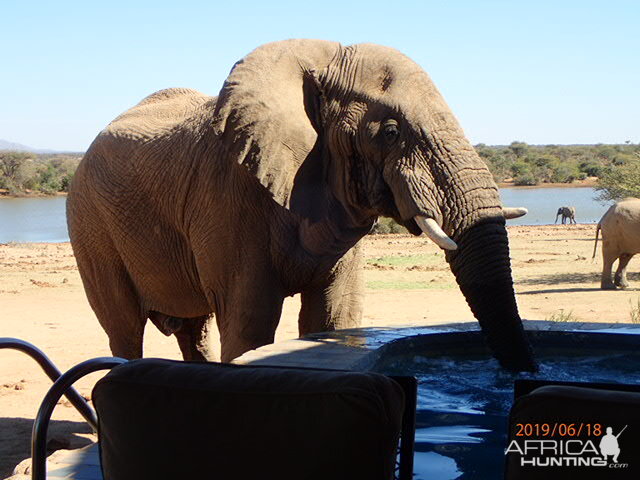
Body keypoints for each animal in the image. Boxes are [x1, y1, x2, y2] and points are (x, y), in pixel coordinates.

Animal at [66, 40, 536, 372]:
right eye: (389, 132)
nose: (521, 375)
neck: (320, 60)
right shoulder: (227, 198)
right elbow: (250, 324)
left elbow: (333, 317)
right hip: (89, 224)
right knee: (125, 328)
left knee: (192, 329)